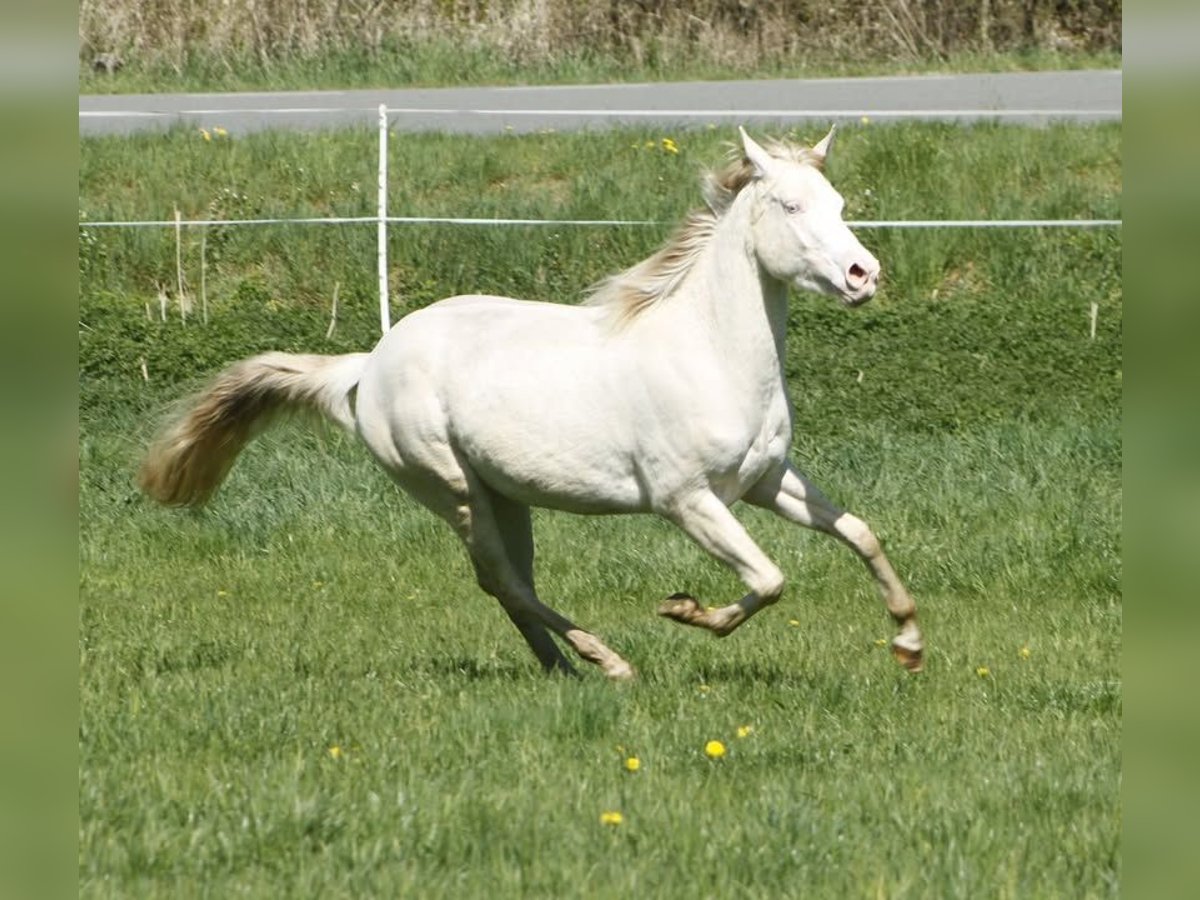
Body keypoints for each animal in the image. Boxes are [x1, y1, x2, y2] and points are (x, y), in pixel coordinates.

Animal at [140, 127, 923, 680]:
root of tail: (370, 365)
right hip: (453, 489)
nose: (864, 275)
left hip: (505, 494)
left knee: (507, 585)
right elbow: (770, 579)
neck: (707, 353)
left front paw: (909, 643)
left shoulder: (764, 482)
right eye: (791, 206)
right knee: (504, 582)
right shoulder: (688, 501)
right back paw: (607, 662)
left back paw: (562, 667)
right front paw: (685, 610)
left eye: (840, 205)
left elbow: (861, 534)